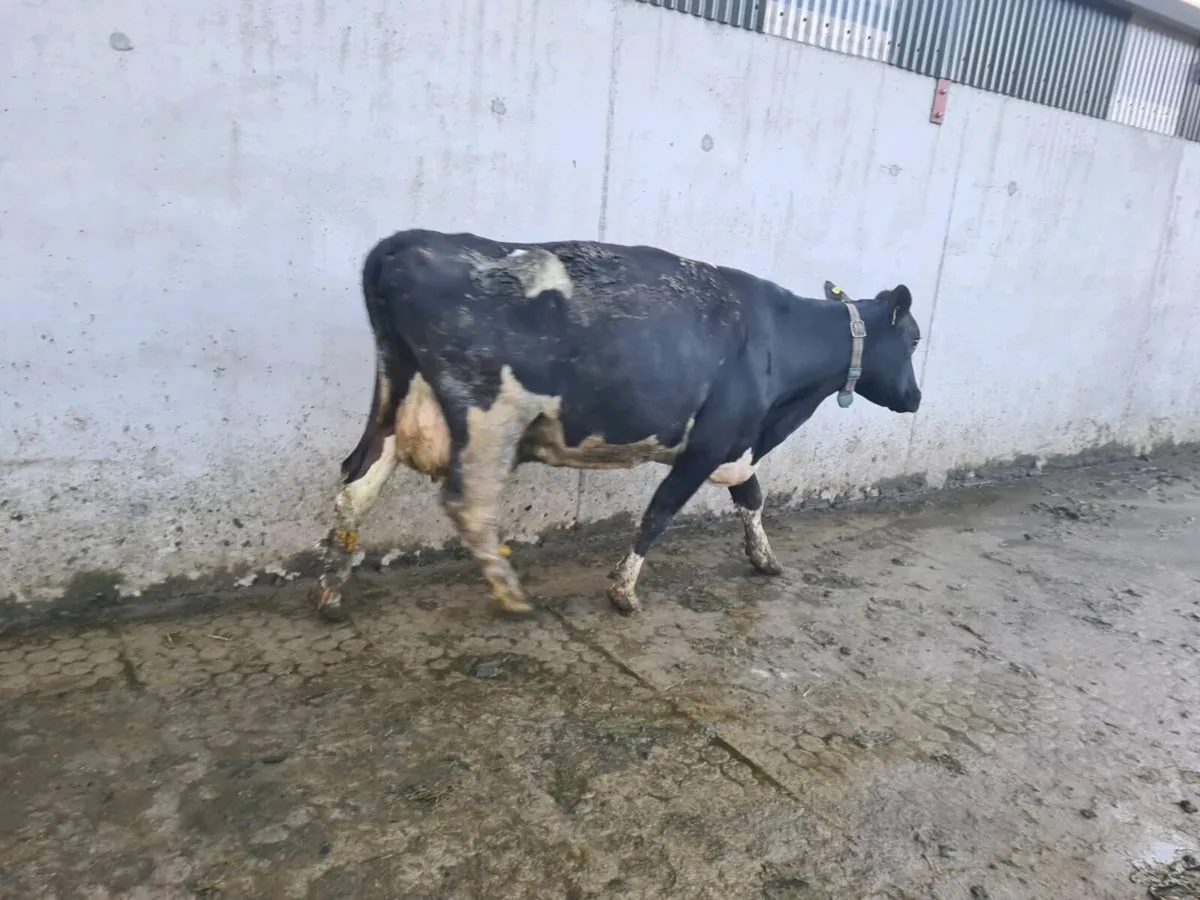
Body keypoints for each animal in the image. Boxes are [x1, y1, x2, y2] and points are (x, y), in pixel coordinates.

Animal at [311, 229, 922, 622]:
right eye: (915, 339)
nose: (916, 398)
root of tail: (408, 242)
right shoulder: (709, 443)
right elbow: (659, 513)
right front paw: (623, 592)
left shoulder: (737, 443)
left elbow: (751, 498)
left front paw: (765, 559)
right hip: (489, 417)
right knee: (469, 502)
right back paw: (512, 597)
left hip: (394, 402)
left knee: (356, 483)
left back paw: (331, 593)